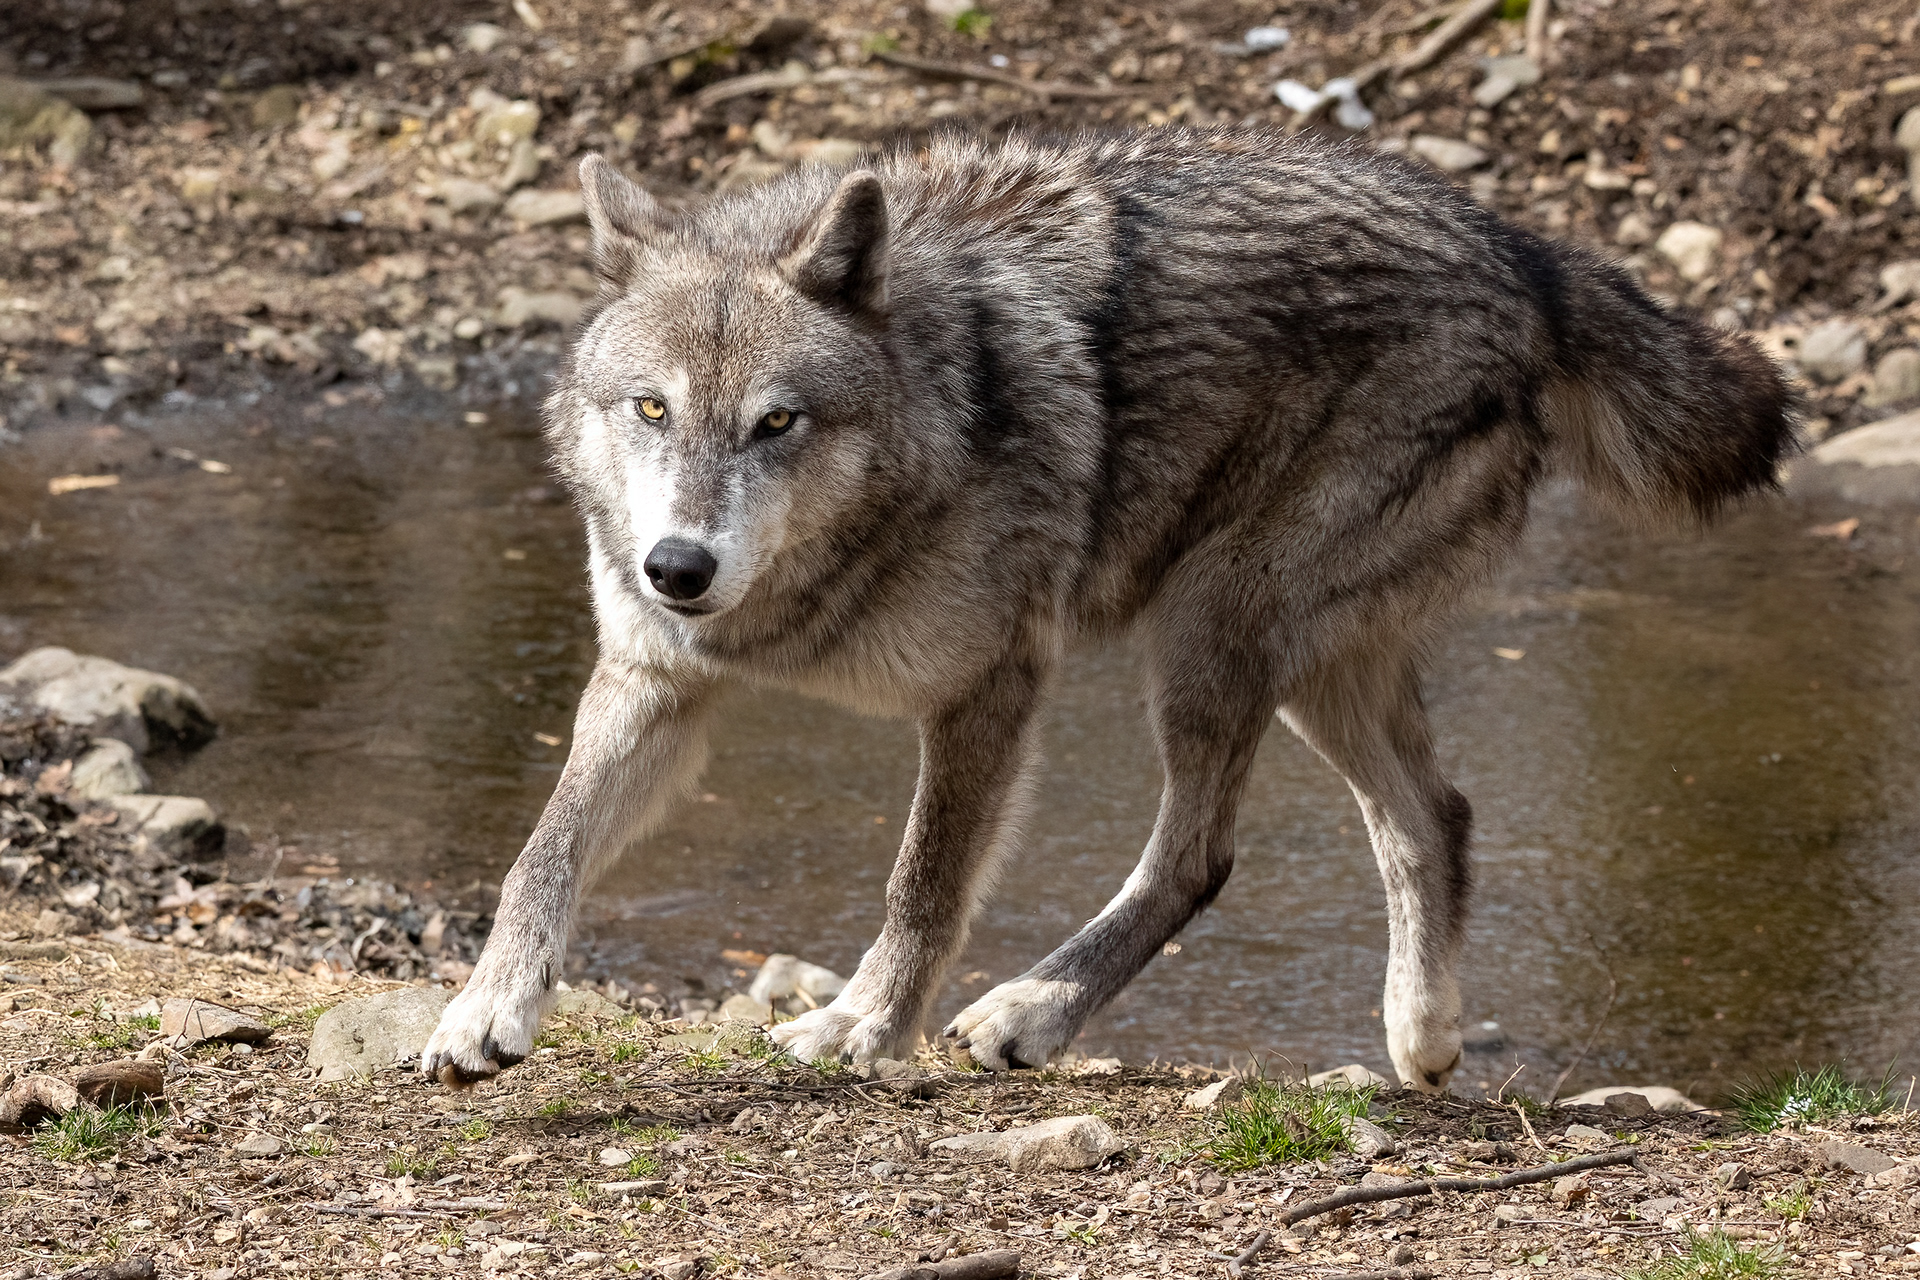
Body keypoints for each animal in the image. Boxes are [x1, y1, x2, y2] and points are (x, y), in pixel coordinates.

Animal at [421, 130, 1793, 1090]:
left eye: (777, 423)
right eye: (650, 408)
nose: (679, 567)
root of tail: (1521, 251)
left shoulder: (989, 687)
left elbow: (922, 883)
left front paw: (866, 1025)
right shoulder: (656, 682)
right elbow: (540, 848)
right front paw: (484, 1010)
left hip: (1211, 633)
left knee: (1205, 854)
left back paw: (1036, 1010)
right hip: (1304, 665)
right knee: (1435, 817)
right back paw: (1422, 1038)